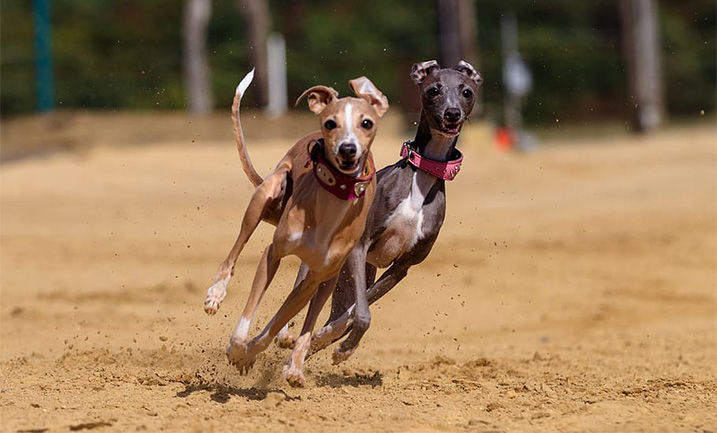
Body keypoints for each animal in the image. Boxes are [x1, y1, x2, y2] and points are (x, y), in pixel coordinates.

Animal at [204, 70, 388, 384]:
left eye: (367, 122)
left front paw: (252, 355)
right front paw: (237, 350)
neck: (331, 204)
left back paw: (295, 365)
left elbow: (276, 327)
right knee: (233, 254)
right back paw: (216, 294)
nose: (347, 149)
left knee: (308, 316)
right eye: (330, 123)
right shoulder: (273, 253)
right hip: (265, 195)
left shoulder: (315, 277)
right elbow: (249, 321)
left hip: (328, 277)